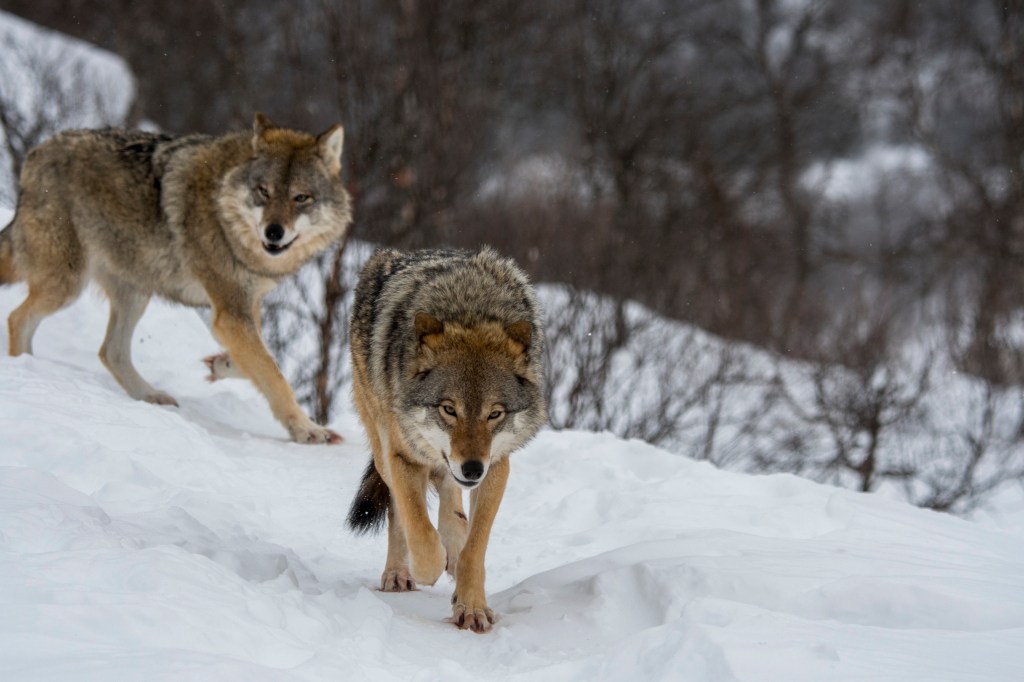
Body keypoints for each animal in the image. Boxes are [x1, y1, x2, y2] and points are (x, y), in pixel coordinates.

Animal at [0, 114, 352, 444]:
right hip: (68, 284)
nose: (274, 232)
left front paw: (221, 365)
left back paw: (149, 396)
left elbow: (262, 360)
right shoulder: (230, 313)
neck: (223, 209)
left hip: (135, 292)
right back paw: (28, 368)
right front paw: (308, 430)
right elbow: (274, 374)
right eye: (263, 192)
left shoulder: (242, 306)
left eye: (301, 198)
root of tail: (37, 151)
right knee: (18, 319)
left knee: (109, 352)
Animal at [346, 246, 552, 630]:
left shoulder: (496, 466)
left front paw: (471, 605)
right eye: (448, 409)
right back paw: (398, 573)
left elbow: (475, 548)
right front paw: (429, 565)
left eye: (494, 414)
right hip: (382, 450)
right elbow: (420, 534)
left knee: (448, 494)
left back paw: (453, 539)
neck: (468, 306)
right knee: (399, 510)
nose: (471, 468)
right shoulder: (404, 457)